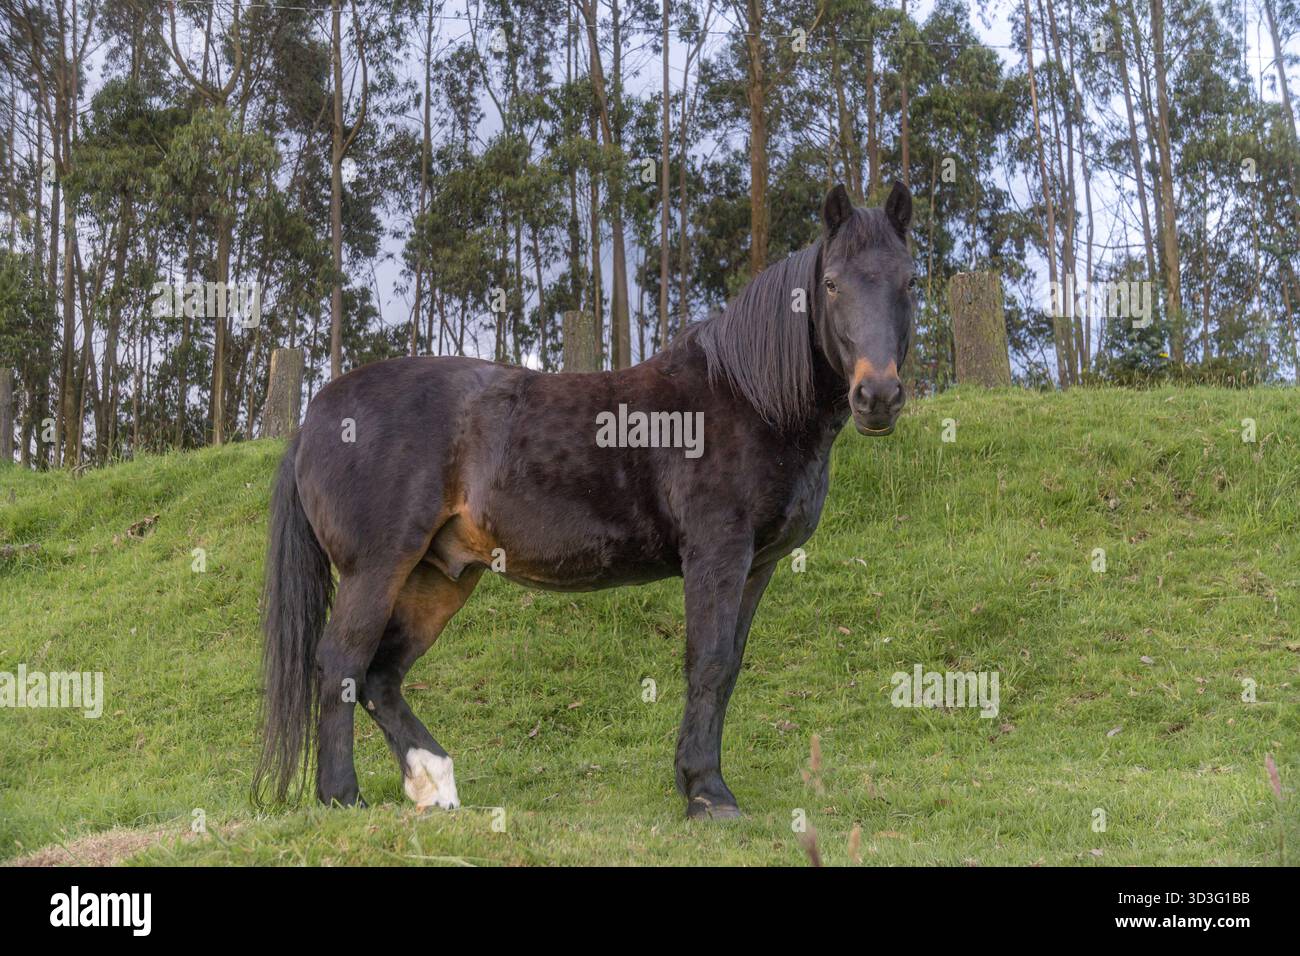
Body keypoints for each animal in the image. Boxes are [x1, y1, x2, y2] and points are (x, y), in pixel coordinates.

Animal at [254, 182, 916, 819]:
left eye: (909, 281)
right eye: (831, 284)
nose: (877, 396)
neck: (748, 397)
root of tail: (315, 416)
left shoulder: (758, 566)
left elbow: (727, 667)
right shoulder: (717, 554)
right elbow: (706, 663)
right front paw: (708, 794)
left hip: (438, 576)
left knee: (381, 676)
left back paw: (433, 784)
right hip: (378, 568)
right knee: (340, 663)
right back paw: (342, 796)